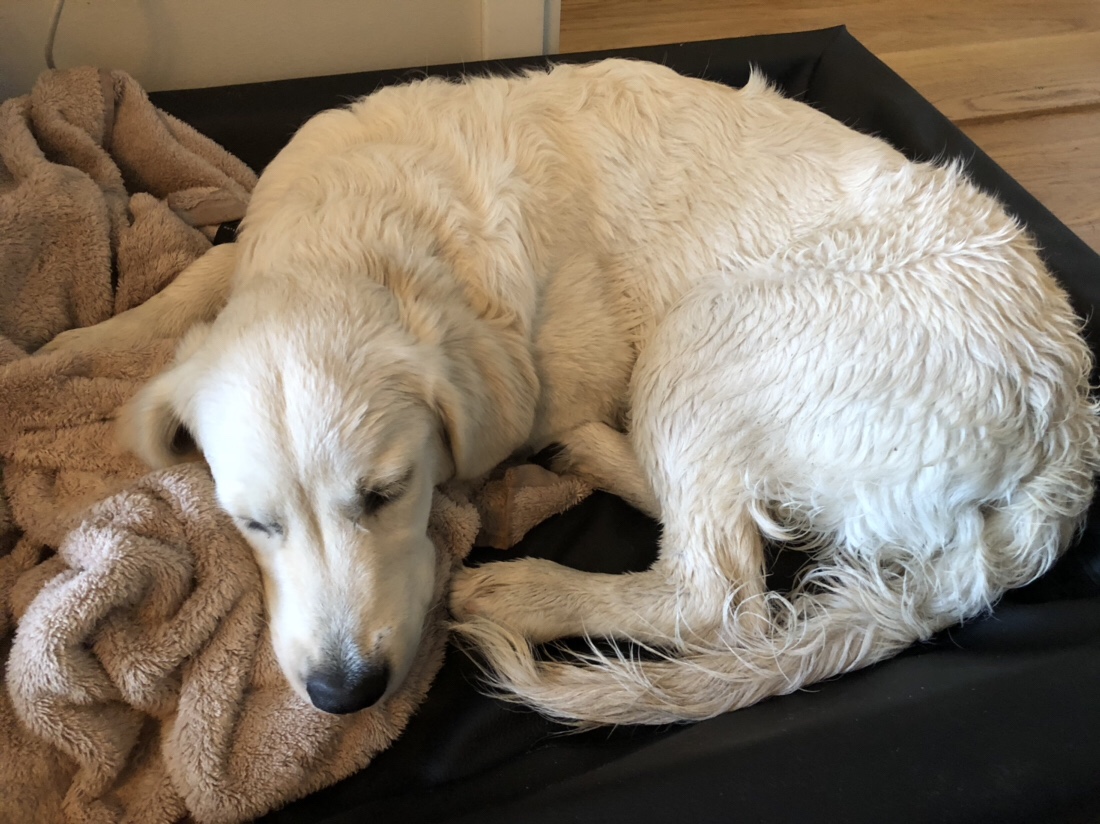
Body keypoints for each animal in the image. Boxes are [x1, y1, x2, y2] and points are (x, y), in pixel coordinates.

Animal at [45, 60, 1100, 725]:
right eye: (251, 524)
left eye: (387, 495)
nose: (345, 693)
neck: (367, 234)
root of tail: (1066, 425)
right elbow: (195, 279)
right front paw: (70, 348)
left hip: (706, 341)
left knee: (714, 592)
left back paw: (530, 582)